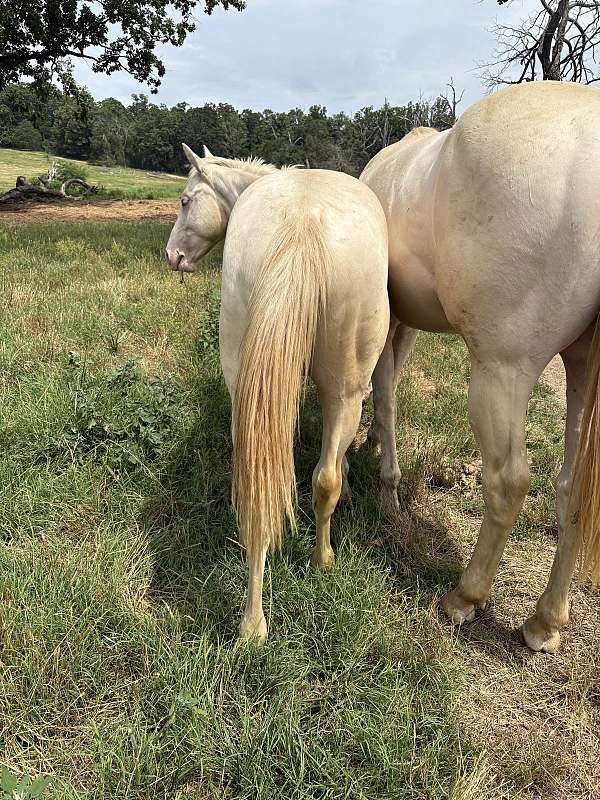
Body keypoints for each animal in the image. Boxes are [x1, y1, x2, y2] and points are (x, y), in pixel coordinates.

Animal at [166, 144, 389, 641]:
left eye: (187, 200)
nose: (172, 255)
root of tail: (303, 222)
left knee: (260, 482)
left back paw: (253, 622)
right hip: (345, 390)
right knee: (326, 478)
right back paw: (321, 562)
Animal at [360, 81, 600, 653]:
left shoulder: (390, 313)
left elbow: (386, 390)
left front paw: (385, 480)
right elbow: (389, 382)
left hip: (501, 371)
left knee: (508, 483)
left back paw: (464, 598)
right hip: (583, 371)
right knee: (574, 490)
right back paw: (545, 622)